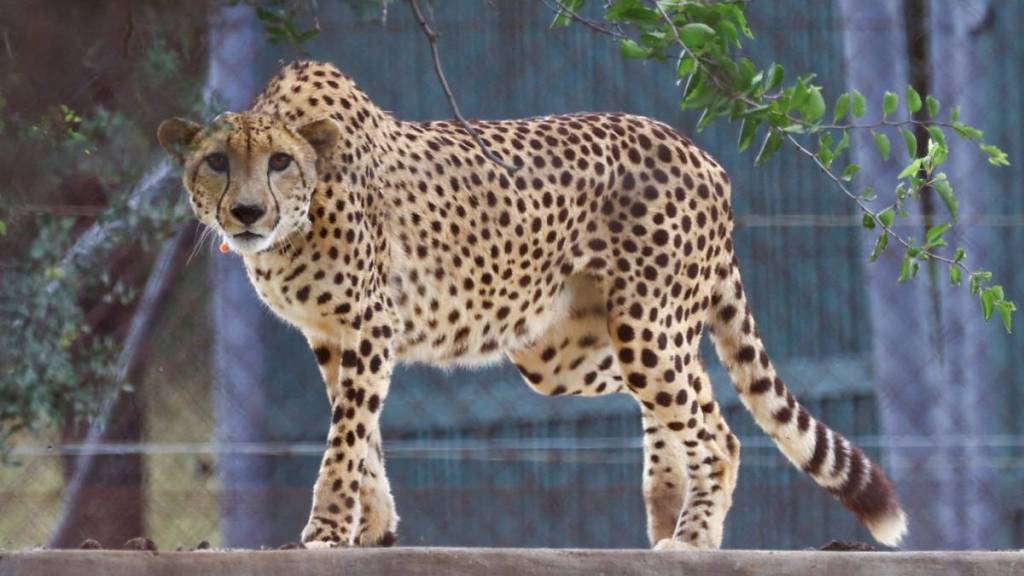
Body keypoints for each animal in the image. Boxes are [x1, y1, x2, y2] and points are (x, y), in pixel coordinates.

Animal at [157, 60, 907, 550]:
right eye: (216, 162)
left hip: (641, 326)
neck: (296, 220)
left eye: (279, 162)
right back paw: (667, 507)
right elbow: (360, 433)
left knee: (715, 428)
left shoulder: (371, 323)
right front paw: (374, 526)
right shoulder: (332, 336)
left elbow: (345, 436)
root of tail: (700, 152)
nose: (246, 212)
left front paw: (325, 529)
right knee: (691, 386)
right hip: (572, 350)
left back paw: (693, 537)